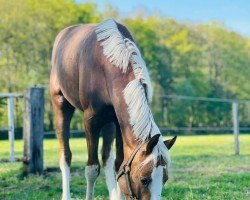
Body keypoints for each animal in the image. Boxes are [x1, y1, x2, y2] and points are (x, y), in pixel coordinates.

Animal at [49, 18, 177, 200]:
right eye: (144, 179)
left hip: (109, 122)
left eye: (164, 179)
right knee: (65, 156)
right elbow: (91, 169)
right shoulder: (90, 122)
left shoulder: (118, 123)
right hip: (60, 105)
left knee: (107, 159)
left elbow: (118, 165)